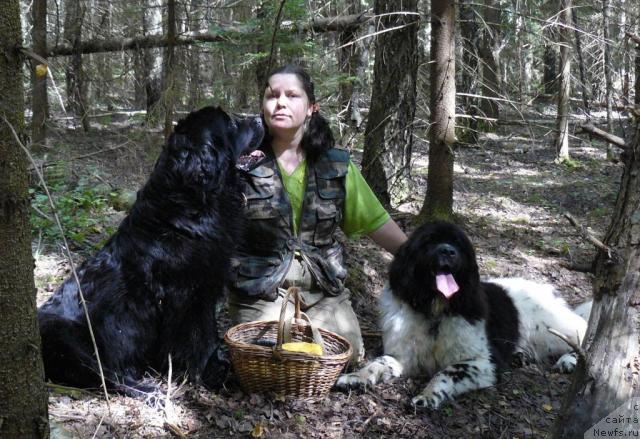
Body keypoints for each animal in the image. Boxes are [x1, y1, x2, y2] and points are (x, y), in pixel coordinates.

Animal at [38, 106, 264, 396]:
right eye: (231, 124)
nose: (260, 117)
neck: (190, 206)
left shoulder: (206, 288)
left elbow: (208, 334)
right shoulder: (185, 294)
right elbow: (198, 338)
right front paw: (206, 377)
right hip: (64, 336)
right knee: (106, 378)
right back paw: (149, 391)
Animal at [336, 222, 592, 410]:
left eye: (458, 244)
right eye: (429, 241)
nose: (448, 251)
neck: (436, 310)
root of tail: (546, 290)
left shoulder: (483, 362)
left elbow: (447, 372)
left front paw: (428, 396)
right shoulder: (402, 356)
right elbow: (378, 363)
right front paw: (356, 377)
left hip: (553, 330)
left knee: (583, 337)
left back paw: (570, 360)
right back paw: (521, 356)